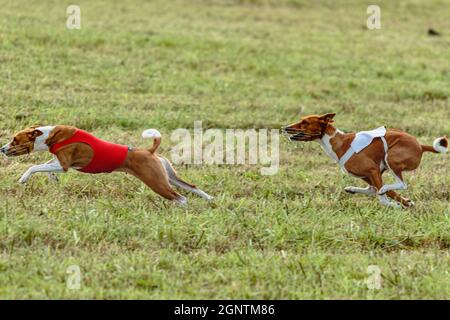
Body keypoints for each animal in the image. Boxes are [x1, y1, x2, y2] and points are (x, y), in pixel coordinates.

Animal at [0, 125, 214, 205]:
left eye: (15, 140)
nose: (2, 149)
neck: (51, 136)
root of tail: (149, 151)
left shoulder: (65, 164)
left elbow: (34, 167)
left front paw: (23, 178)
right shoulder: (58, 162)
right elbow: (45, 166)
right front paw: (53, 179)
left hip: (156, 182)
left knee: (180, 198)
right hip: (168, 176)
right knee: (192, 187)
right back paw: (210, 199)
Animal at [284, 114, 448, 209]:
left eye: (305, 122)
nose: (286, 127)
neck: (338, 142)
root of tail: (420, 145)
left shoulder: (372, 171)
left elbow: (383, 197)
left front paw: (394, 205)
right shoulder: (369, 175)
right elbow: (389, 192)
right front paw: (406, 202)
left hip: (391, 158)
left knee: (401, 183)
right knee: (378, 188)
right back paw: (352, 189)